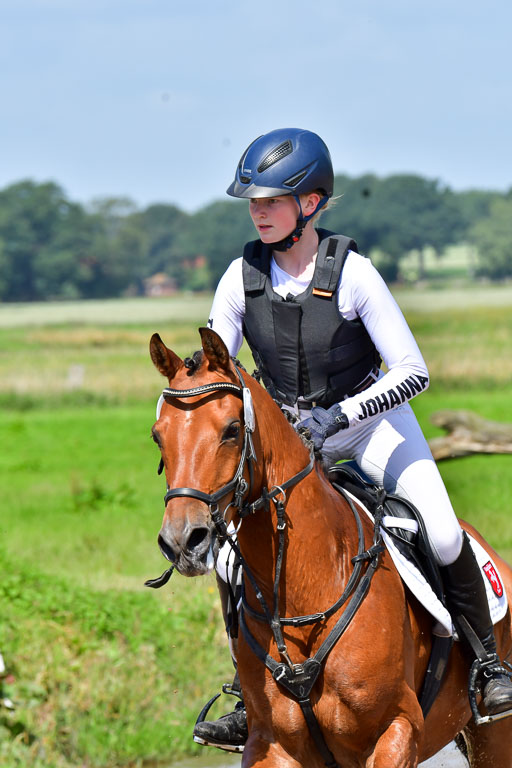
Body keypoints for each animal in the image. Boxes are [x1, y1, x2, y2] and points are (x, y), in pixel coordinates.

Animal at [149, 327, 512, 768]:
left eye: (232, 429)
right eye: (157, 435)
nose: (182, 540)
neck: (307, 591)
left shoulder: (396, 731)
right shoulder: (272, 745)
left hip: (494, 733)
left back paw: (496, 682)